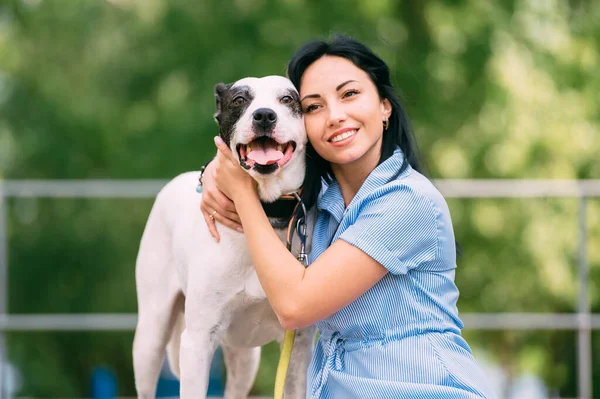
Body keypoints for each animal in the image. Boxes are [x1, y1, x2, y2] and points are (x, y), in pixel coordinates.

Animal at [133, 76, 316, 399]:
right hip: (150, 337)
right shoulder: (197, 341)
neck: (263, 215)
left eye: (287, 99)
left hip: (245, 358)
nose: (264, 115)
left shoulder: (298, 348)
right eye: (239, 100)